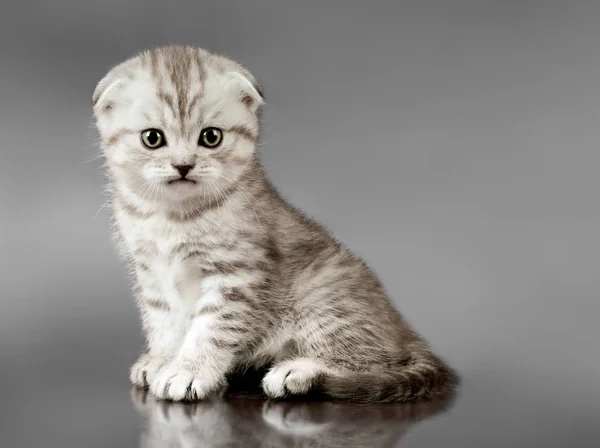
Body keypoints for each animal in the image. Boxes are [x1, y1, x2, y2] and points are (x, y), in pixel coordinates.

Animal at [91, 44, 458, 402]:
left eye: (211, 137)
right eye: (152, 138)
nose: (183, 165)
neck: (173, 216)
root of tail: (403, 331)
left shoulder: (237, 274)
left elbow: (211, 329)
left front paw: (188, 371)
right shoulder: (150, 272)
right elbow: (162, 322)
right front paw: (162, 360)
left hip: (321, 298)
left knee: (374, 362)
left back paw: (298, 371)